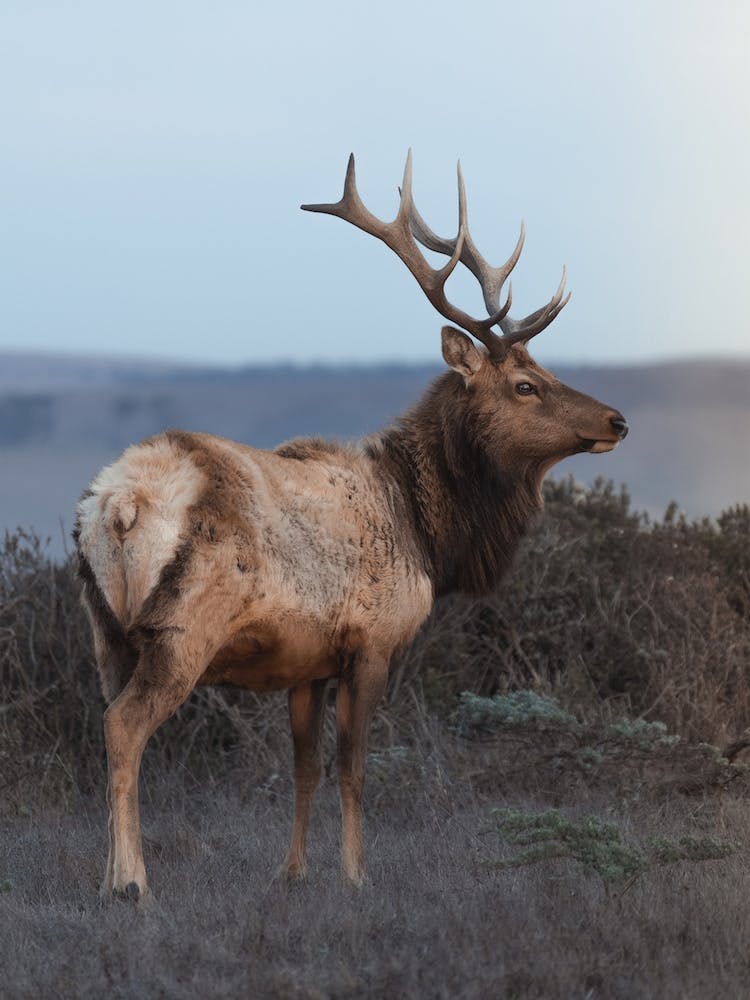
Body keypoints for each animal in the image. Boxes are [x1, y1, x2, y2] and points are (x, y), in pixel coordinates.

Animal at [74, 152, 628, 901]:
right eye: (525, 385)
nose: (617, 420)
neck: (429, 533)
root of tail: (116, 506)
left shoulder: (306, 661)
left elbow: (305, 766)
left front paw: (294, 872)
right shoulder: (373, 641)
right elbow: (355, 767)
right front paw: (357, 876)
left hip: (105, 633)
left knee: (106, 723)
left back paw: (108, 874)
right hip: (181, 630)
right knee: (126, 726)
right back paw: (131, 883)